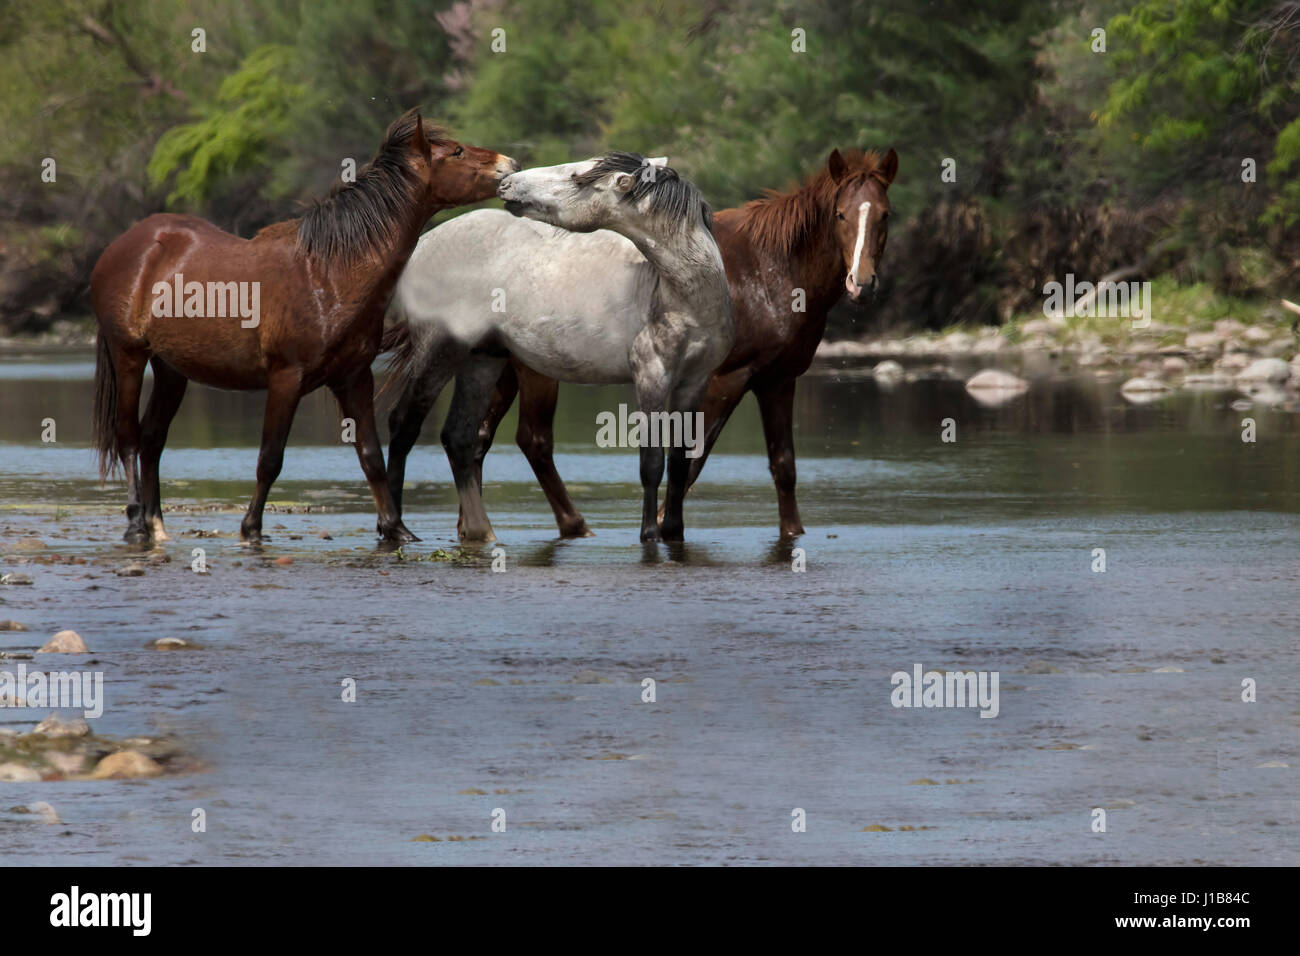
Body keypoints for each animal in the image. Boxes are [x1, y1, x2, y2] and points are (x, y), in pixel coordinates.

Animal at [89, 108, 514, 541]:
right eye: (457, 151)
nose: (508, 165)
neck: (327, 274)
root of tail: (123, 247)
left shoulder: (354, 378)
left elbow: (370, 456)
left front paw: (396, 528)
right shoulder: (286, 378)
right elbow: (270, 458)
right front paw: (251, 527)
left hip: (171, 369)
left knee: (152, 440)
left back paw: (156, 525)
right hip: (129, 355)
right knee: (128, 438)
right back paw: (136, 521)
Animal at [382, 155, 733, 546]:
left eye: (576, 177)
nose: (507, 182)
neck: (682, 295)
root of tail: (423, 243)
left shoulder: (693, 382)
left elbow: (681, 460)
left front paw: (674, 532)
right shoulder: (651, 376)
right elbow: (652, 463)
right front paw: (649, 535)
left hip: (482, 358)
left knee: (458, 437)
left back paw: (480, 532)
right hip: (439, 349)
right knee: (403, 424)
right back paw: (396, 529)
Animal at [470, 147, 904, 538]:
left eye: (885, 215)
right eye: (841, 214)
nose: (862, 284)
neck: (768, 271)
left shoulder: (772, 380)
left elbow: (777, 465)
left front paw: (790, 532)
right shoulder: (717, 379)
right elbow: (685, 459)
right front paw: (659, 525)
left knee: (485, 437)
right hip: (534, 370)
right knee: (534, 440)